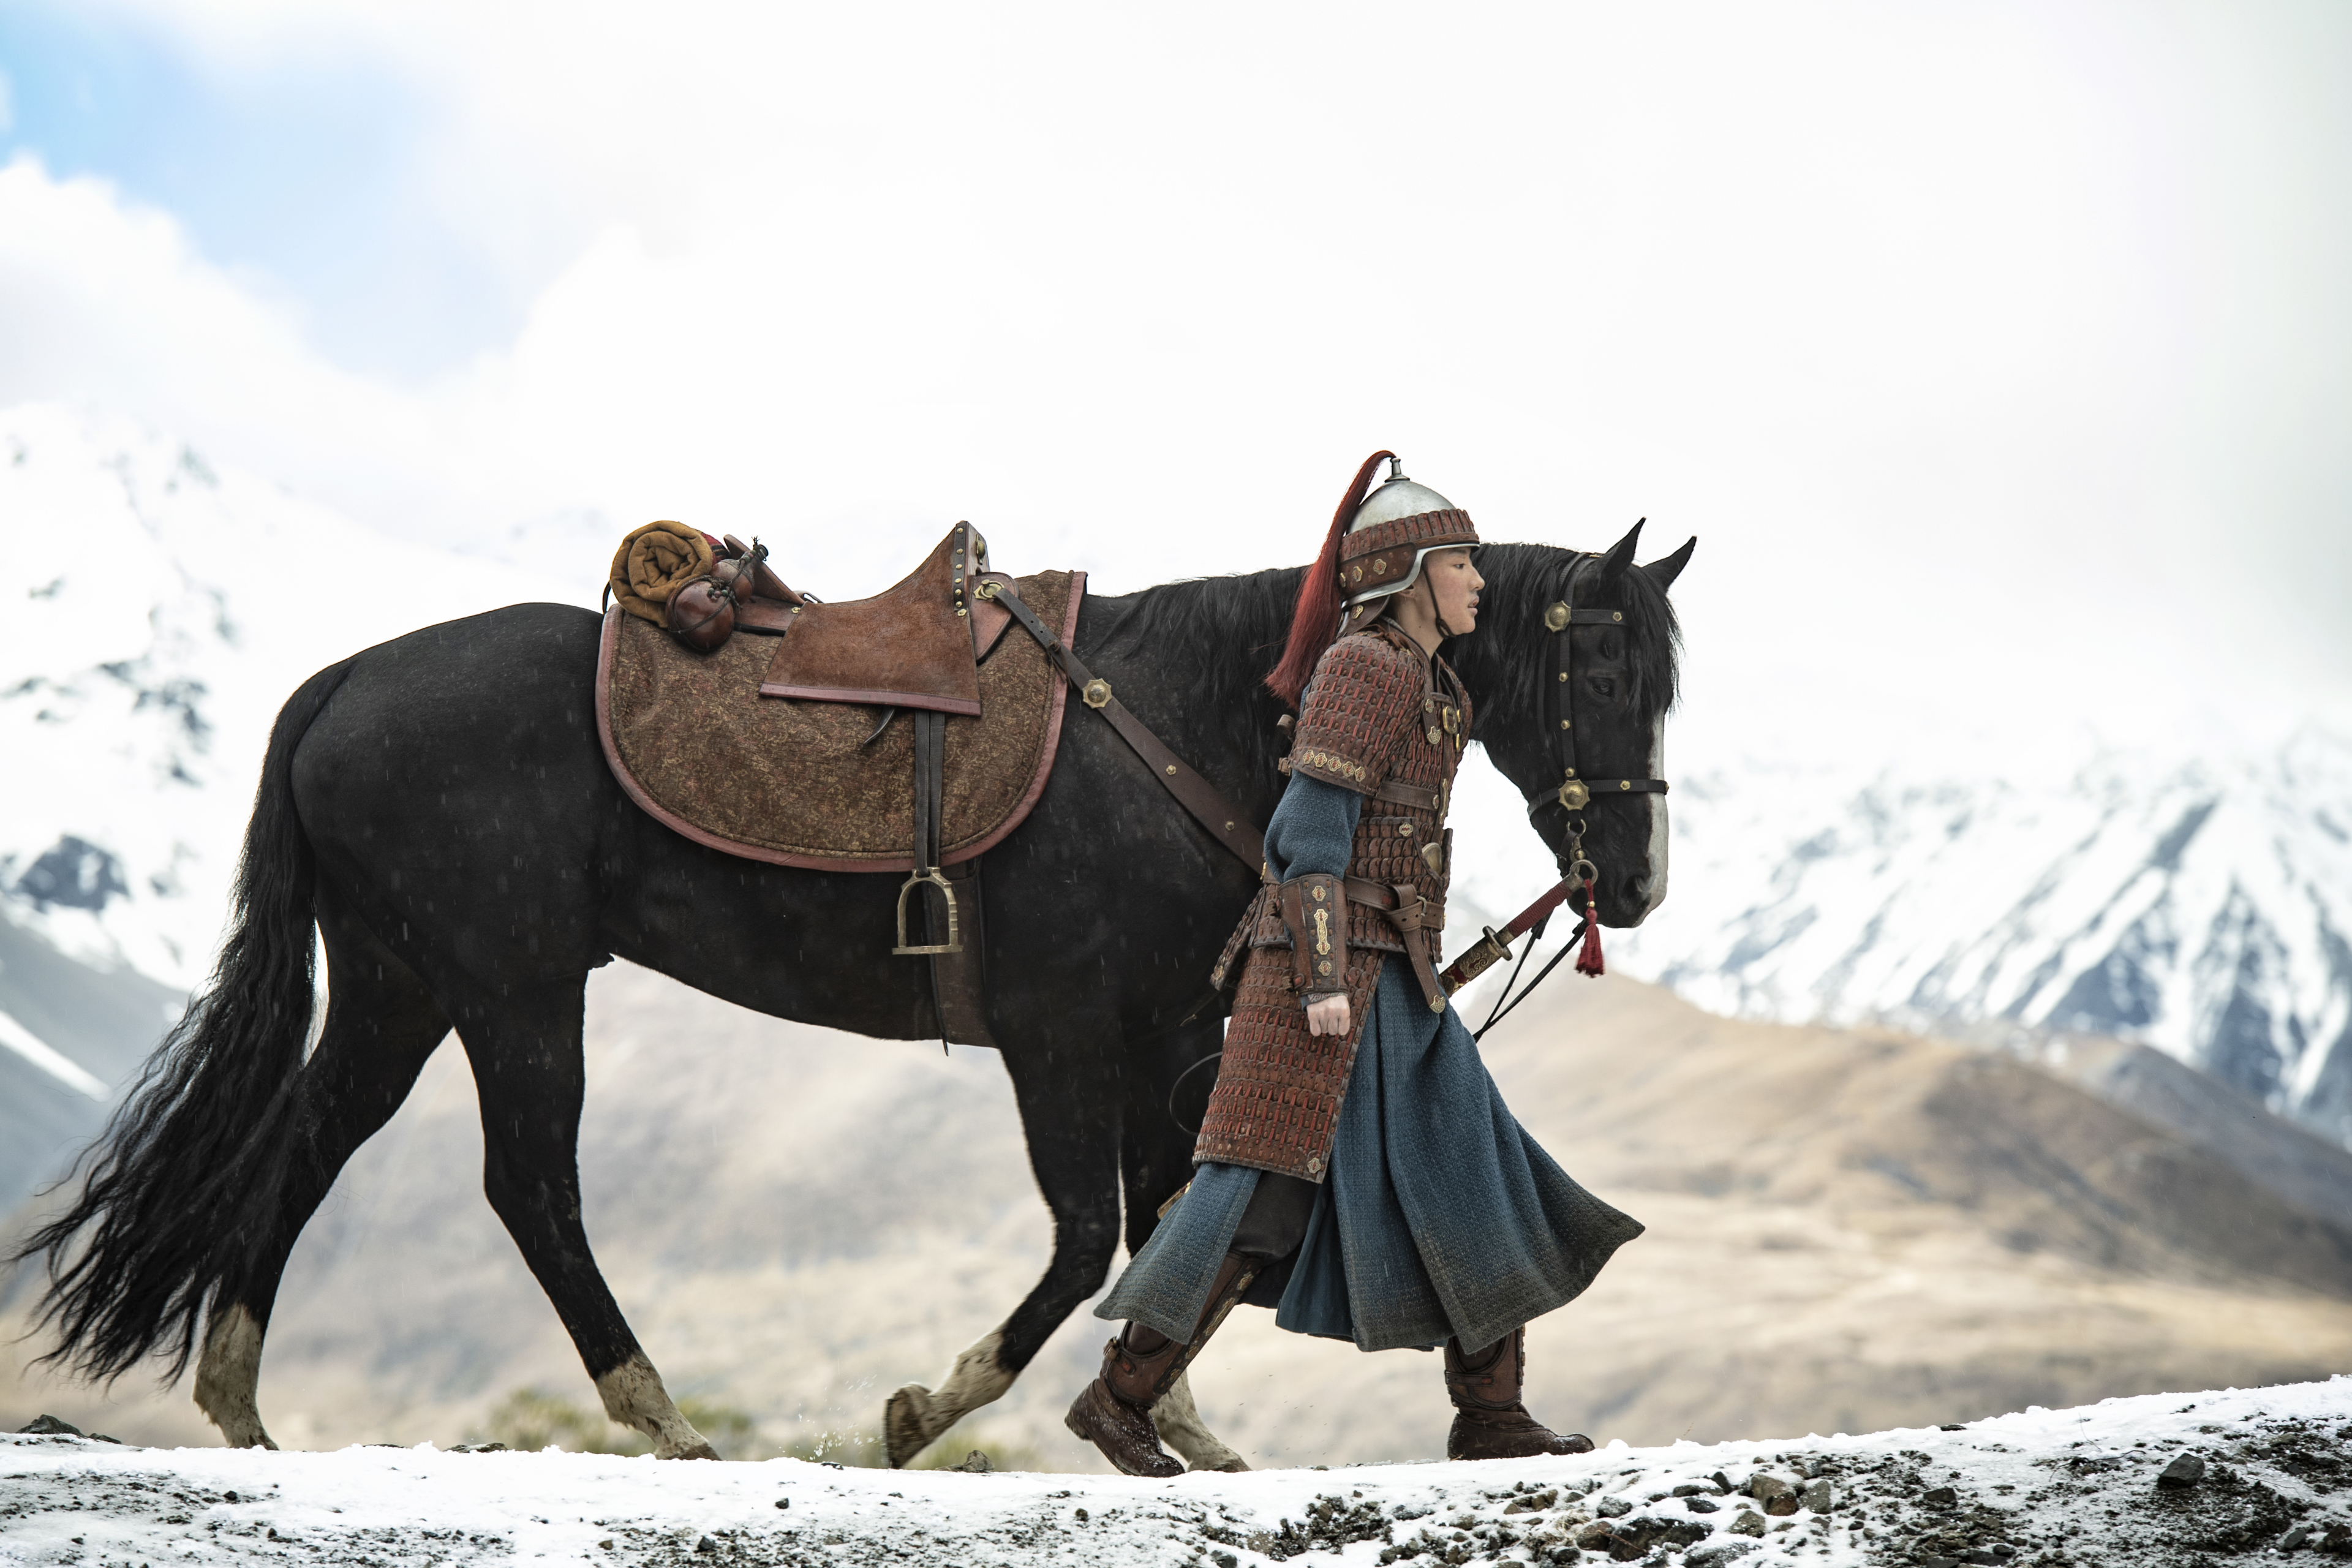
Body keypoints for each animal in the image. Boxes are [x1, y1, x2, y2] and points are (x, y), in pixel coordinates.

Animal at [10, 521, 1690, 1467]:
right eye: (1608, 672)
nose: (1635, 875)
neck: (1174, 715)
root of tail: (342, 679)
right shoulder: (1059, 1037)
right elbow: (1085, 1238)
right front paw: (925, 1408)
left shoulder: (1165, 1033)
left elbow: (1177, 1219)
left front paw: (1177, 1420)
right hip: (511, 984)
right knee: (532, 1184)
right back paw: (661, 1414)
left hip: (400, 979)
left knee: (305, 1145)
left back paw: (240, 1401)